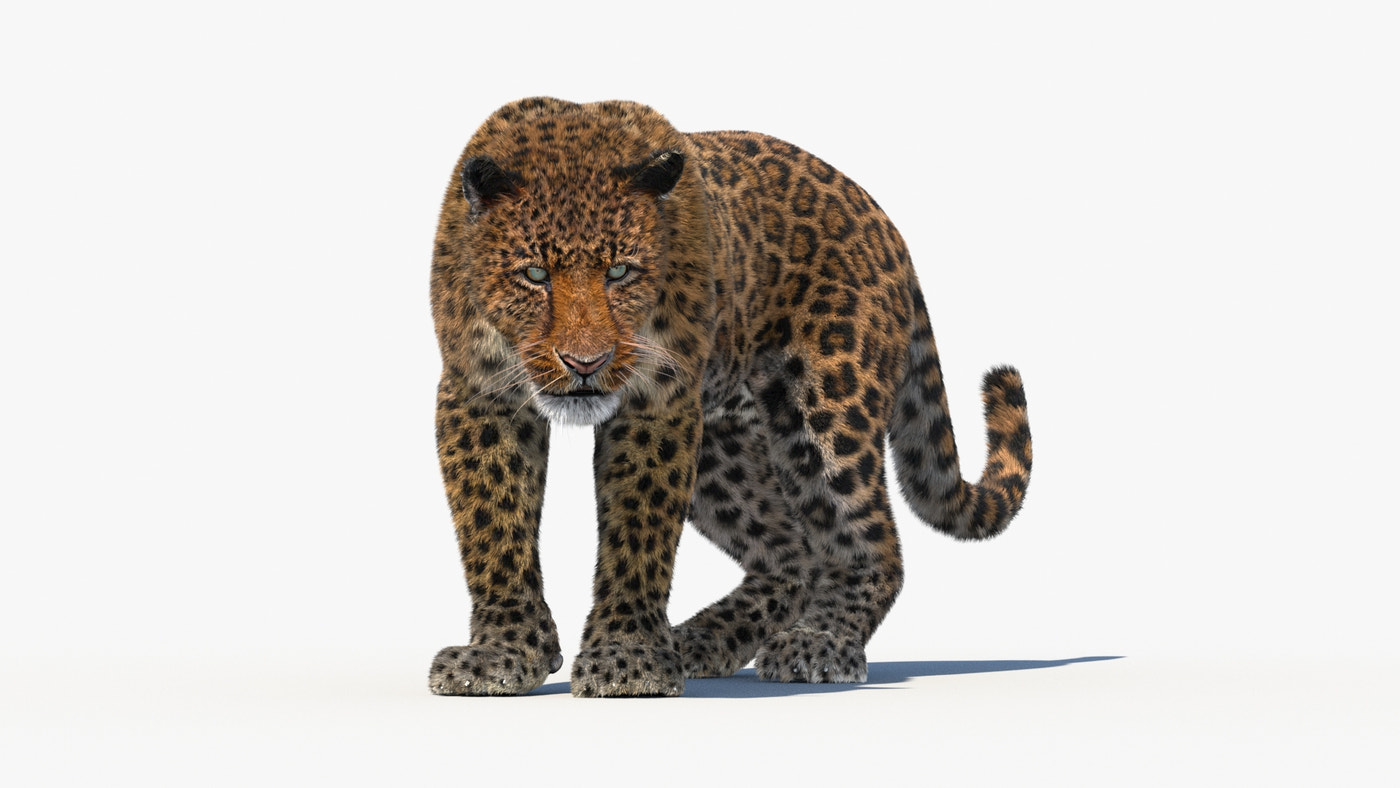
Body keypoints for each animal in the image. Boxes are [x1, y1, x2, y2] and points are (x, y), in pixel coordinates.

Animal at [426, 97, 1032, 698]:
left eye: (621, 271)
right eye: (534, 274)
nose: (585, 364)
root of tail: (885, 224)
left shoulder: (659, 402)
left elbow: (639, 530)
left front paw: (627, 659)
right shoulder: (480, 396)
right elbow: (493, 522)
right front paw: (504, 653)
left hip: (828, 412)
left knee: (871, 544)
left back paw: (818, 643)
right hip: (721, 448)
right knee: (792, 553)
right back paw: (699, 639)